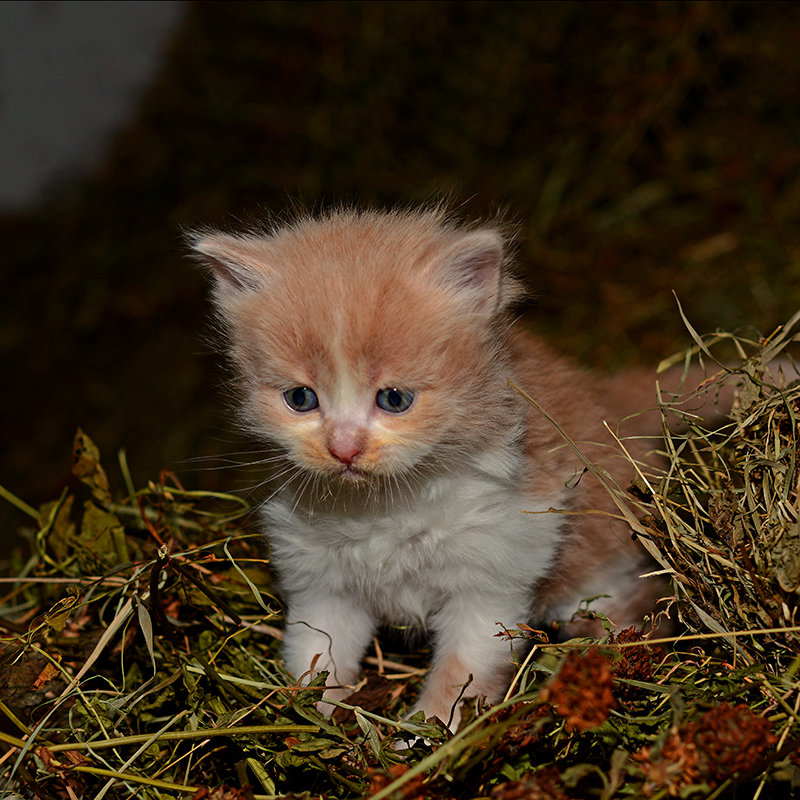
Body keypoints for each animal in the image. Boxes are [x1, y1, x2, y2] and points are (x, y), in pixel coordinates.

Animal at [194, 209, 668, 728]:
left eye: (394, 399)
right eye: (300, 399)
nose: (343, 449)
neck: (385, 505)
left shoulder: (493, 576)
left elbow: (461, 674)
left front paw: (425, 735)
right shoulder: (322, 583)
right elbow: (317, 654)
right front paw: (309, 719)